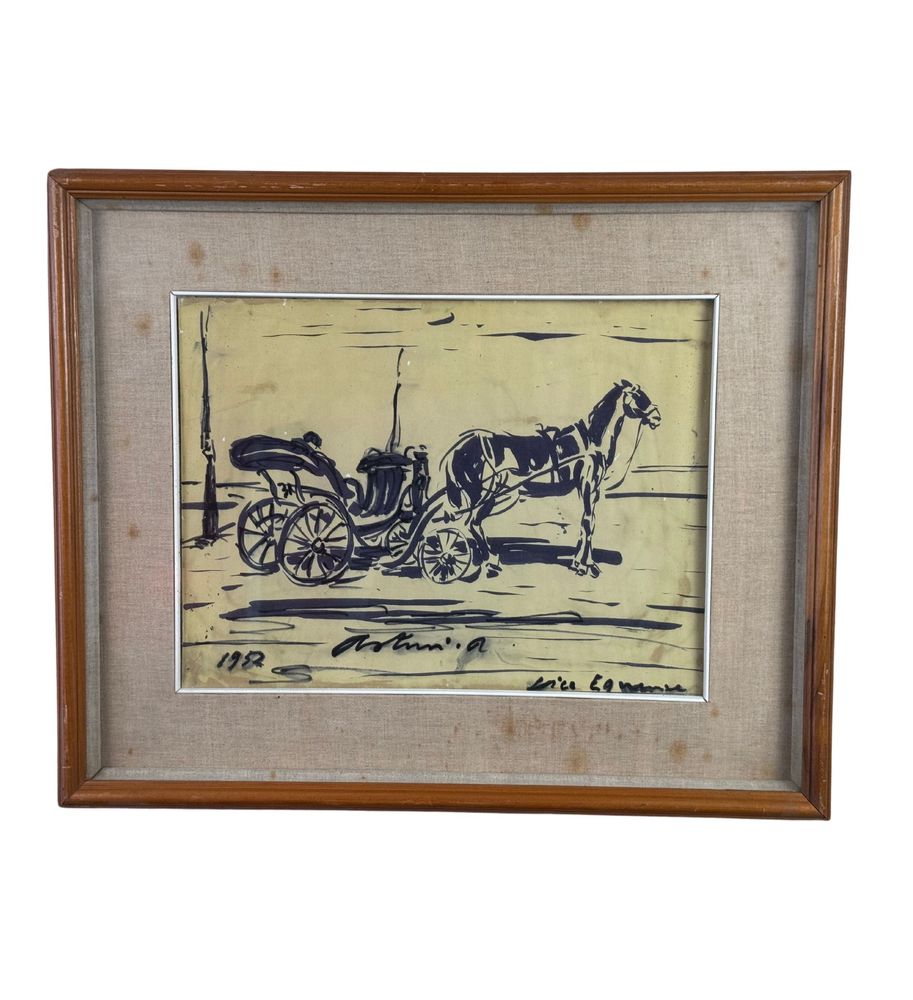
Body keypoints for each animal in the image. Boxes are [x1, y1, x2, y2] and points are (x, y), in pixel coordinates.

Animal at [440, 380, 661, 578]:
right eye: (637, 396)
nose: (657, 418)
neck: (591, 440)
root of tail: (461, 448)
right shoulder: (587, 485)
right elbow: (588, 522)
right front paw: (584, 566)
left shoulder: (591, 489)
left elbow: (588, 523)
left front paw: (582, 563)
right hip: (486, 495)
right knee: (473, 523)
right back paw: (489, 564)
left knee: (474, 524)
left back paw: (490, 562)